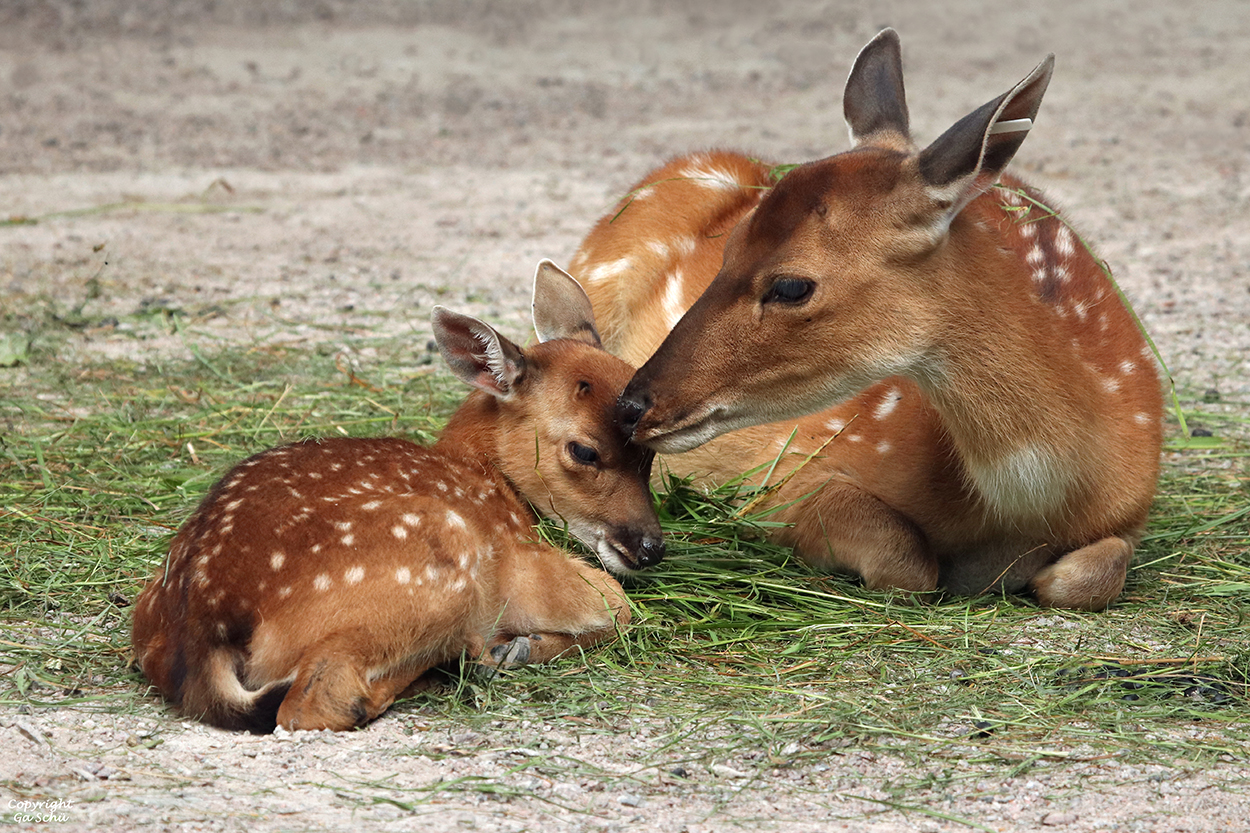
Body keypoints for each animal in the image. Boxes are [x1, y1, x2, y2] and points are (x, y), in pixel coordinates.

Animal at [131, 260, 665, 725]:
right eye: (584, 450)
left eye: (650, 451)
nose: (650, 547)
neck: (487, 478)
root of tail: (206, 630)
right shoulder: (528, 570)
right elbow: (618, 606)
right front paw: (514, 648)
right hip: (434, 559)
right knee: (315, 702)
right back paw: (461, 660)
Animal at [572, 30, 1160, 610]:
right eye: (729, 247)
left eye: (792, 286)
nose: (631, 406)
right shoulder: (788, 473)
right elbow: (908, 560)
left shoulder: (1133, 507)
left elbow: (1092, 573)